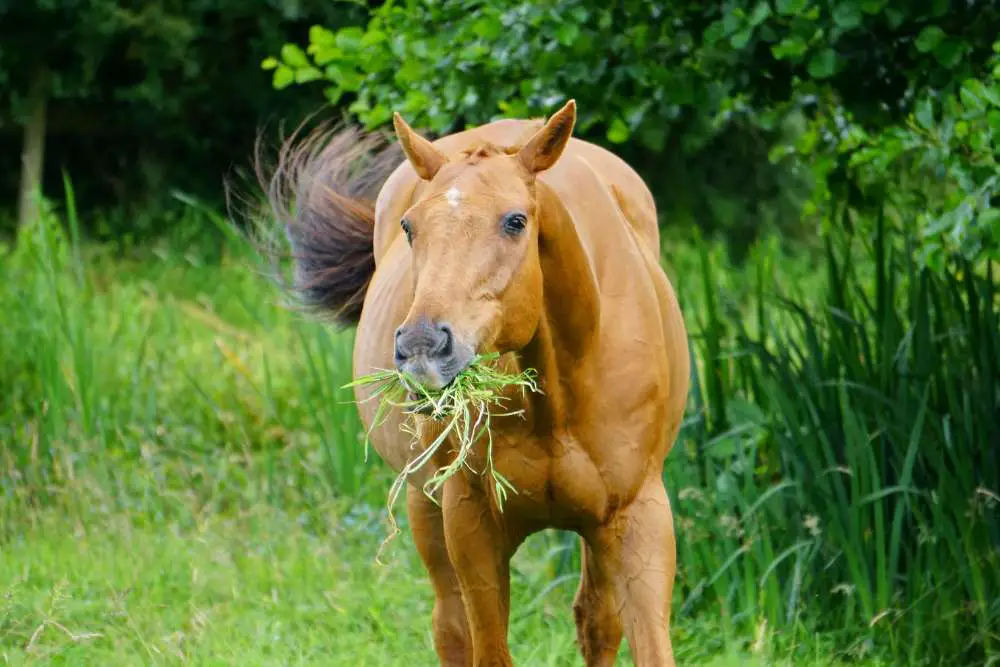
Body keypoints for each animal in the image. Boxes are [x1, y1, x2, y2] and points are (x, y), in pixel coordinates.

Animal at [266, 100, 688, 667]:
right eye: (410, 227)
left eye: (515, 221)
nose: (422, 346)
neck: (557, 398)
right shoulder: (472, 523)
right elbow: (486, 646)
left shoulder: (637, 519)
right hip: (425, 507)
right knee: (450, 627)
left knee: (596, 622)